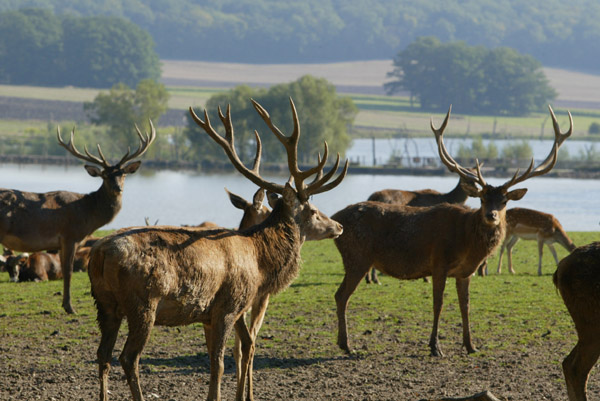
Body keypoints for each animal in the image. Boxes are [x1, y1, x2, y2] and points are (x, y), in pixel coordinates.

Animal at [0, 125, 156, 312]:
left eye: (123, 174)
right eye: (105, 175)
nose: (118, 188)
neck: (88, 215)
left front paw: (66, 304)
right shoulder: (70, 236)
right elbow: (68, 271)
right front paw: (69, 307)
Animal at [89, 97, 350, 400]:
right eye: (313, 211)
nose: (338, 226)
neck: (260, 264)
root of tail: (99, 254)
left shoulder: (209, 314)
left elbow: (226, 355)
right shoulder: (228, 304)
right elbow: (220, 362)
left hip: (105, 304)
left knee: (103, 355)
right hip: (142, 303)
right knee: (129, 357)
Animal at [332, 104, 572, 356]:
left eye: (504, 200)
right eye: (483, 198)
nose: (491, 216)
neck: (467, 243)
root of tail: (336, 219)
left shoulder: (465, 272)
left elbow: (465, 306)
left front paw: (471, 345)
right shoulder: (438, 263)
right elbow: (438, 304)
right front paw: (435, 346)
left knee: (341, 295)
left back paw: (345, 343)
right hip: (357, 257)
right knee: (341, 295)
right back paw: (347, 346)